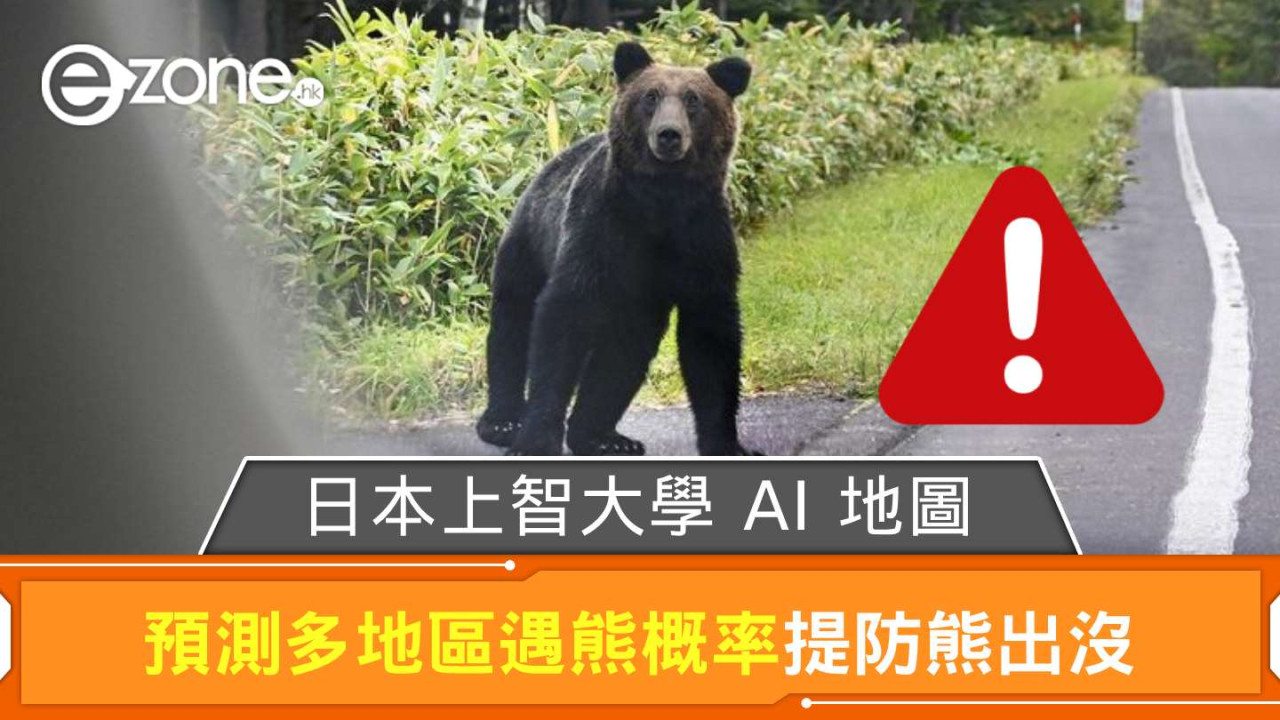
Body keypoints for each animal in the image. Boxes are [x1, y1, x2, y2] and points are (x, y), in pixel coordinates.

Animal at [474, 41, 757, 456]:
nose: (669, 135)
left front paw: (728, 443)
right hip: (528, 244)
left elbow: (711, 336)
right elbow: (561, 322)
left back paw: (602, 437)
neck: (662, 199)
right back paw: (503, 421)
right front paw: (535, 439)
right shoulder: (600, 230)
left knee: (622, 354)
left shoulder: (701, 239)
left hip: (637, 305)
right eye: (650, 97)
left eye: (694, 99)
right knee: (513, 325)